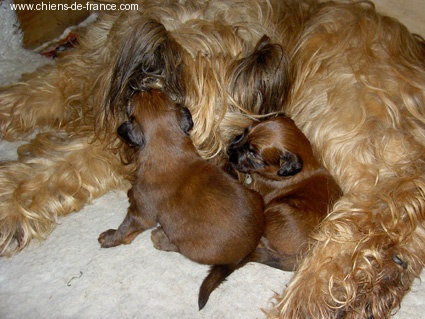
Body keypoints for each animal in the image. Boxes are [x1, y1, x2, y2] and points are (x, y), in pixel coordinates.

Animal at [97, 89, 264, 312]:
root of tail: (246, 252)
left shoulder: (140, 215)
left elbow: (124, 229)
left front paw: (109, 238)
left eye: (129, 105)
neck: (168, 143)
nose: (139, 87)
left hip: (189, 242)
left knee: (179, 247)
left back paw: (161, 238)